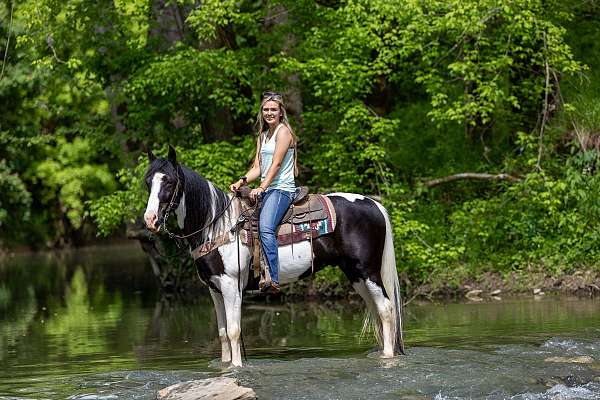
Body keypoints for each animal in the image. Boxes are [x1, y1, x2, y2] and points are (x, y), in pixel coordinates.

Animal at [142, 146, 404, 366]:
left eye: (169, 181)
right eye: (148, 183)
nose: (150, 220)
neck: (218, 225)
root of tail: (374, 205)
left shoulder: (231, 285)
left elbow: (235, 330)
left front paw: (237, 368)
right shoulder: (214, 288)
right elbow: (223, 332)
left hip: (368, 272)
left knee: (386, 309)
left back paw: (388, 357)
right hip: (355, 274)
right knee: (377, 310)